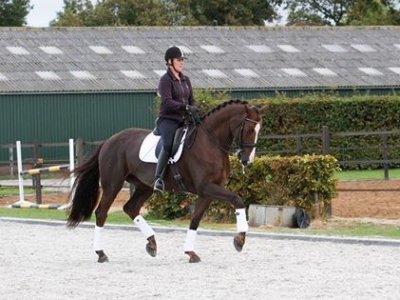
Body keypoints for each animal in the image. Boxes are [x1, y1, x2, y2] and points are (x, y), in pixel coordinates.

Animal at [67, 100, 268, 262]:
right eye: (249, 130)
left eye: (259, 130)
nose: (247, 160)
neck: (211, 142)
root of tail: (109, 141)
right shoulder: (207, 187)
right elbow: (237, 199)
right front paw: (240, 239)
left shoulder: (208, 192)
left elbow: (195, 219)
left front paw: (190, 252)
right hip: (113, 184)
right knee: (101, 213)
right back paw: (101, 253)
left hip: (144, 186)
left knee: (131, 208)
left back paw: (151, 244)